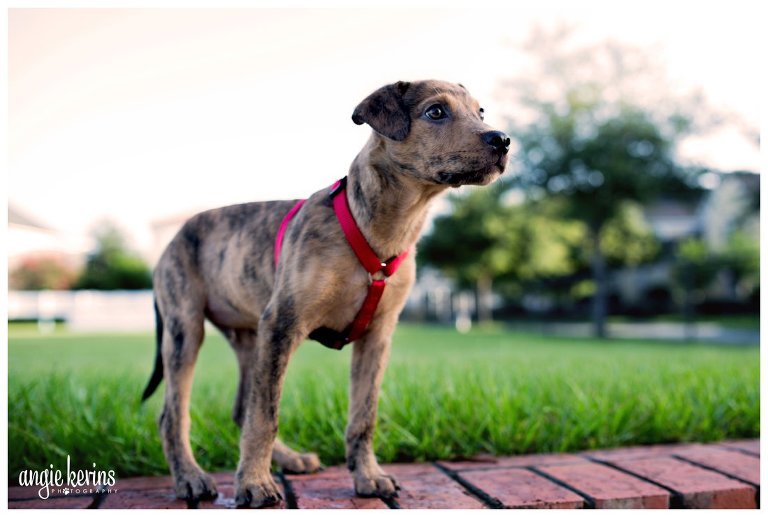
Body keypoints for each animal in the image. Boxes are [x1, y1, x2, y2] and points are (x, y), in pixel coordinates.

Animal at [142, 80, 510, 508]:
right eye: (436, 112)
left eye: (480, 112)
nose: (503, 140)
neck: (385, 227)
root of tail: (173, 238)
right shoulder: (282, 325)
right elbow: (265, 415)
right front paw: (253, 485)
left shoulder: (376, 337)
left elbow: (362, 417)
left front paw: (368, 477)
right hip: (185, 331)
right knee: (176, 414)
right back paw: (191, 478)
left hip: (250, 339)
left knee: (240, 407)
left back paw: (290, 460)